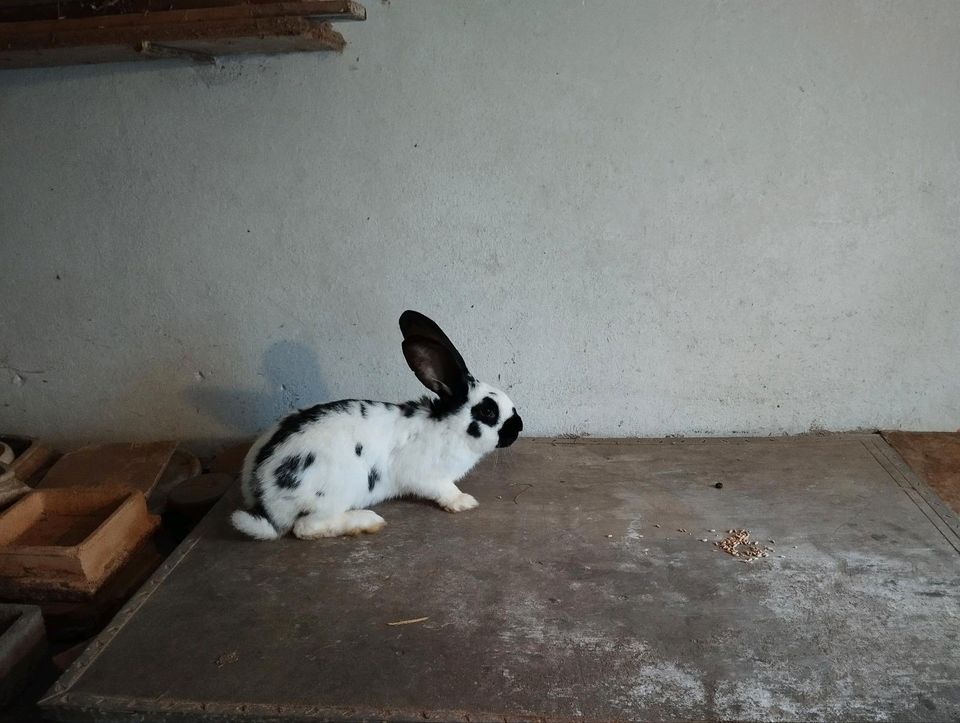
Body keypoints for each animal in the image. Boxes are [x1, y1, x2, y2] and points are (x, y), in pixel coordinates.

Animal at [229, 308, 520, 540]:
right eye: (488, 411)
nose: (518, 428)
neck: (449, 427)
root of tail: (263, 494)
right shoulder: (424, 475)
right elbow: (443, 489)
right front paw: (463, 502)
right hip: (335, 493)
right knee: (306, 528)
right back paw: (366, 521)